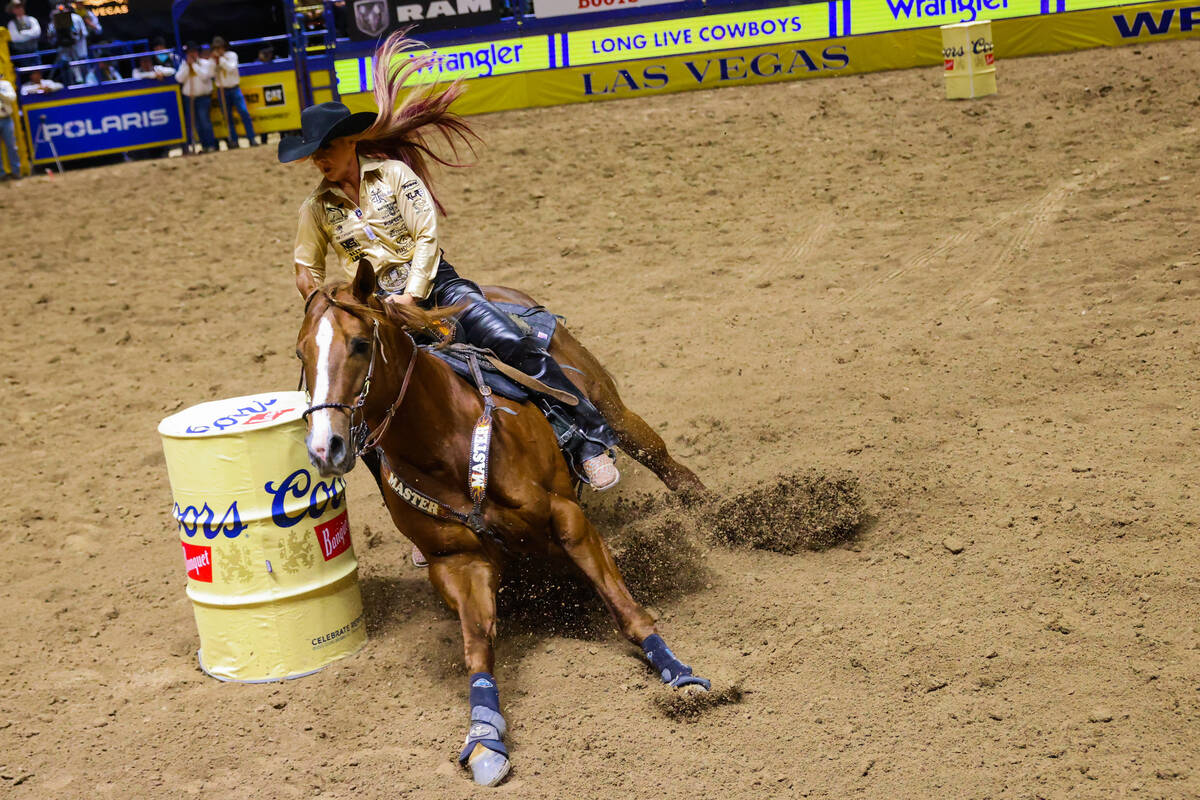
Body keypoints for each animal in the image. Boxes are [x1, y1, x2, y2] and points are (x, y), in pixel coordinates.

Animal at [296, 260, 710, 786]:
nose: (324, 448)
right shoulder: (458, 564)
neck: (445, 445)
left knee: (667, 464)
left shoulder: (566, 516)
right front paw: (484, 739)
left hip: (612, 410)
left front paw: (679, 672)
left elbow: (625, 608)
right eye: (302, 353)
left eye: (359, 344)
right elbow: (477, 649)